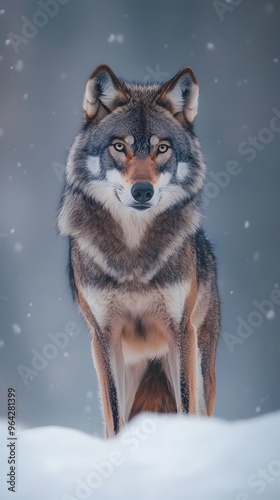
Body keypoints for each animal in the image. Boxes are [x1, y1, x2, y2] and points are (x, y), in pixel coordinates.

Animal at [58, 64, 221, 436]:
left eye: (162, 148)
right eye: (120, 146)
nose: (143, 191)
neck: (133, 257)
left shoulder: (180, 331)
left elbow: (186, 405)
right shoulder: (104, 337)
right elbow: (114, 417)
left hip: (200, 357)